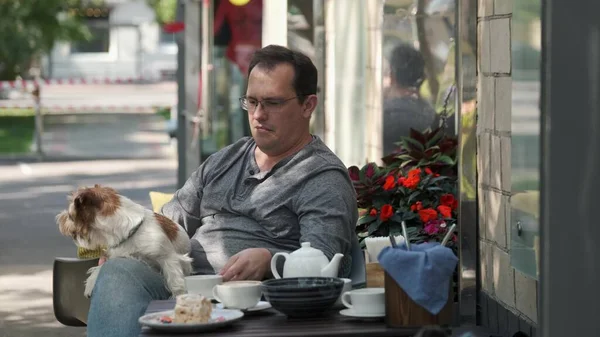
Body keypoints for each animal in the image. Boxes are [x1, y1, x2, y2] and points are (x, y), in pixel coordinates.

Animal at [56, 184, 192, 296]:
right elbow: (101, 266)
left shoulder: (168, 257)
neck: (131, 231)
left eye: (69, 215)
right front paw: (91, 282)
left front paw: (178, 296)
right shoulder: (118, 254)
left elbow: (175, 281)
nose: (59, 219)